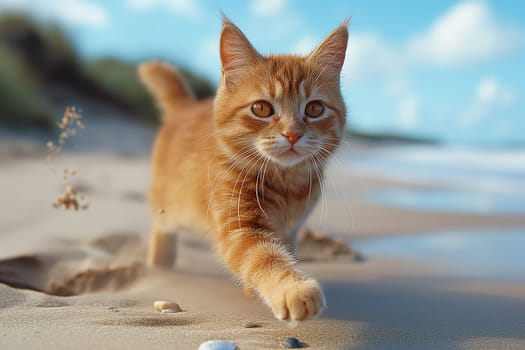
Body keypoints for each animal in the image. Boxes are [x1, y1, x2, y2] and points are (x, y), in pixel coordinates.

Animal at [138, 19, 348, 322]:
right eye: (261, 108)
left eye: (315, 109)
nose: (293, 134)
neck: (285, 184)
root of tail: (185, 108)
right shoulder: (239, 226)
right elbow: (264, 256)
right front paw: (293, 288)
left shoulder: (291, 229)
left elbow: (280, 251)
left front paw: (254, 290)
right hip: (169, 204)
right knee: (161, 225)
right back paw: (160, 262)